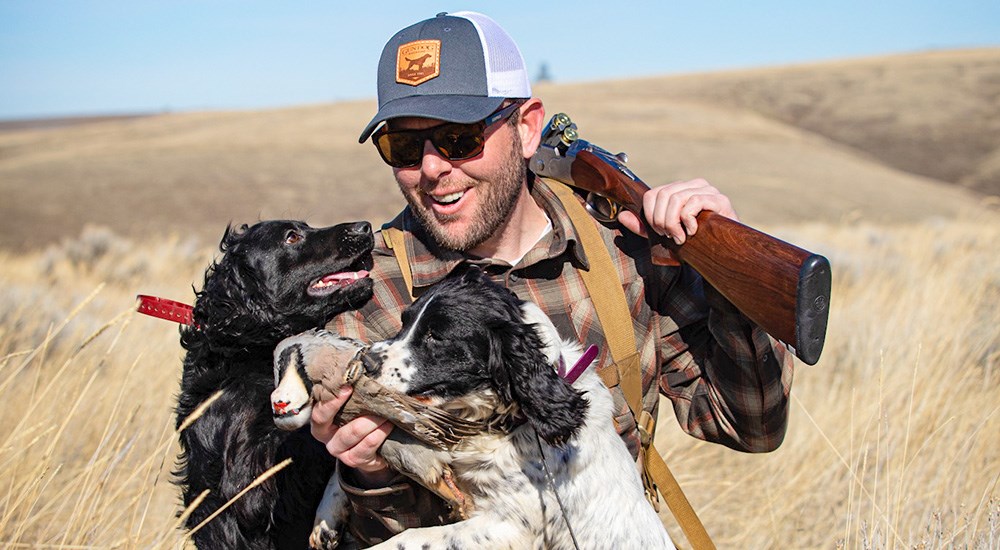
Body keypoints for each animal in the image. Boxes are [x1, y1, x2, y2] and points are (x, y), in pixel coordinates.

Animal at [278, 272, 676, 550]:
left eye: (436, 336)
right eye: (405, 322)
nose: (366, 361)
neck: (502, 425)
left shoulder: (508, 526)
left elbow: (408, 538)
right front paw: (324, 520)